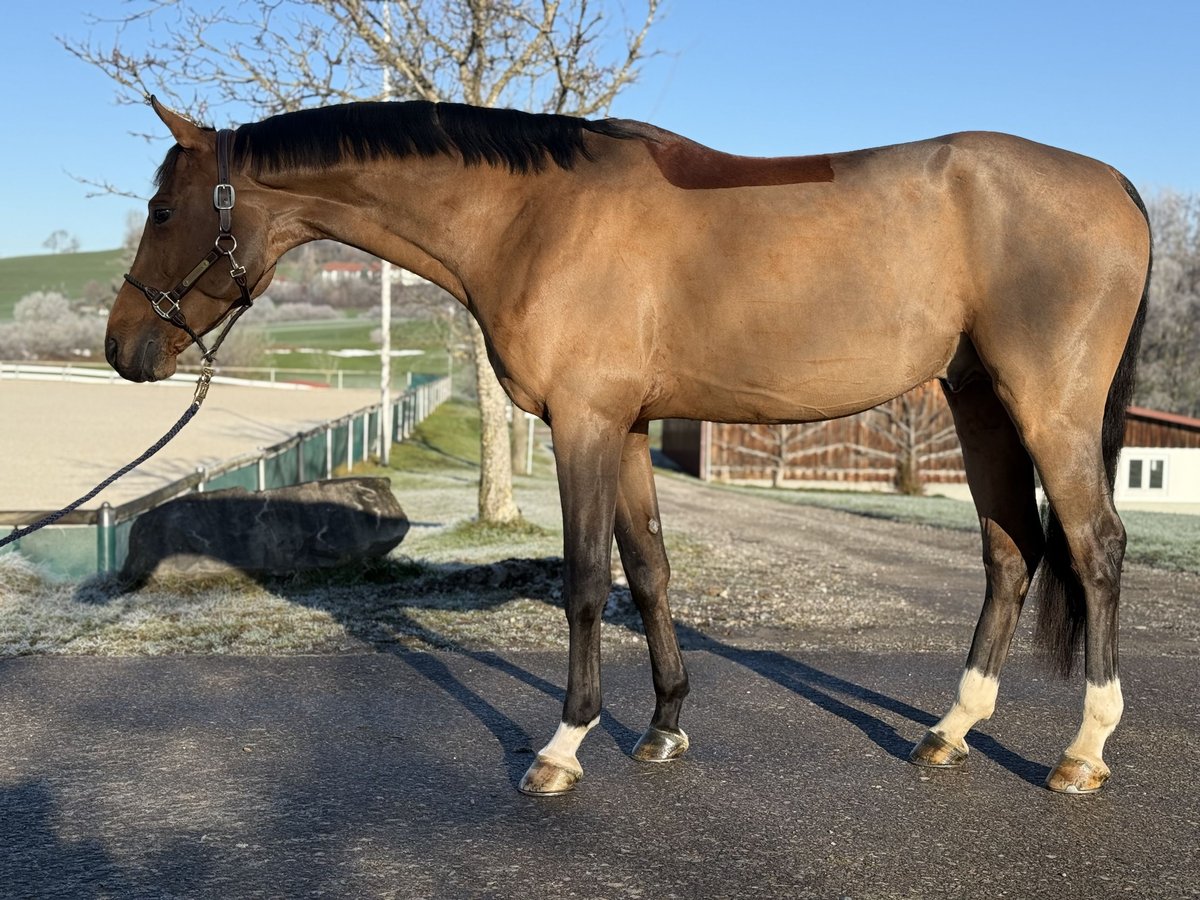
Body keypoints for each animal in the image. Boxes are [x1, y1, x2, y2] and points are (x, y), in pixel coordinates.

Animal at [108, 98, 1147, 801]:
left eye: (162, 212)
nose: (124, 349)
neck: (532, 217)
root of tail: (1119, 186)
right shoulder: (633, 427)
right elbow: (648, 571)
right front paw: (663, 729)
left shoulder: (584, 422)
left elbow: (582, 579)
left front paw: (563, 748)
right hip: (978, 402)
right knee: (1012, 552)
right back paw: (950, 730)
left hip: (1045, 406)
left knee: (1094, 547)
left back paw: (1082, 752)